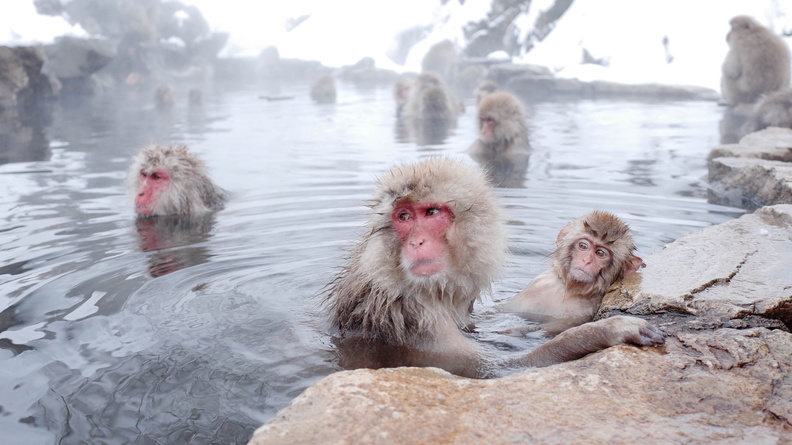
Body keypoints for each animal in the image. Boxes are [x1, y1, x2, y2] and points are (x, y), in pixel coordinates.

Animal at [499, 211, 644, 334]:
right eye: (583, 246)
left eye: (600, 253)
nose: (586, 260)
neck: (568, 289)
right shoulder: (539, 282)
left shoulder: (583, 313)